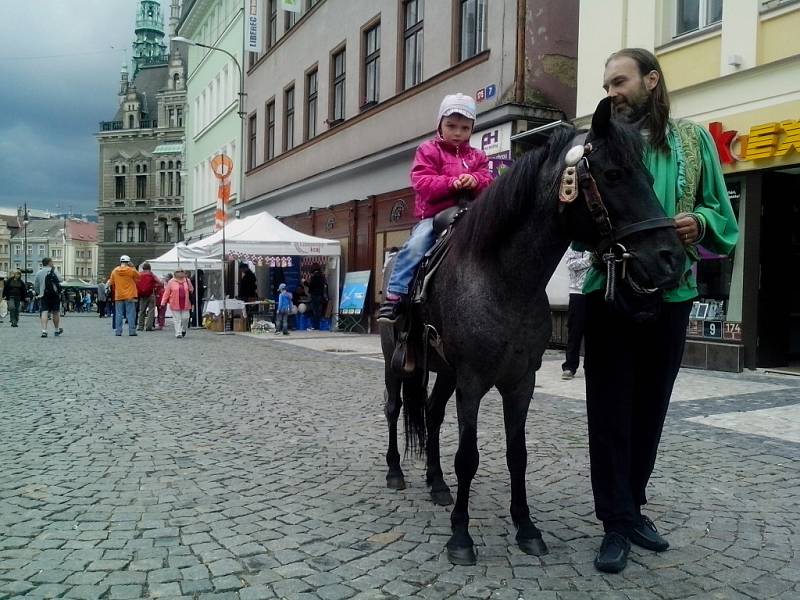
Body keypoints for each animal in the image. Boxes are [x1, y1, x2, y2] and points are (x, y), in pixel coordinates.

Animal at [380, 96, 680, 564]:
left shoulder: (520, 381)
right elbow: (468, 456)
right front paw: (461, 537)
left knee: (430, 413)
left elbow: (516, 454)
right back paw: (395, 471)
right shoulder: (473, 381)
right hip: (396, 365)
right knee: (395, 410)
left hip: (444, 371)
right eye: (614, 174)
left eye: (650, 177)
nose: (671, 257)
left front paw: (525, 527)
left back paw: (437, 482)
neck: (502, 277)